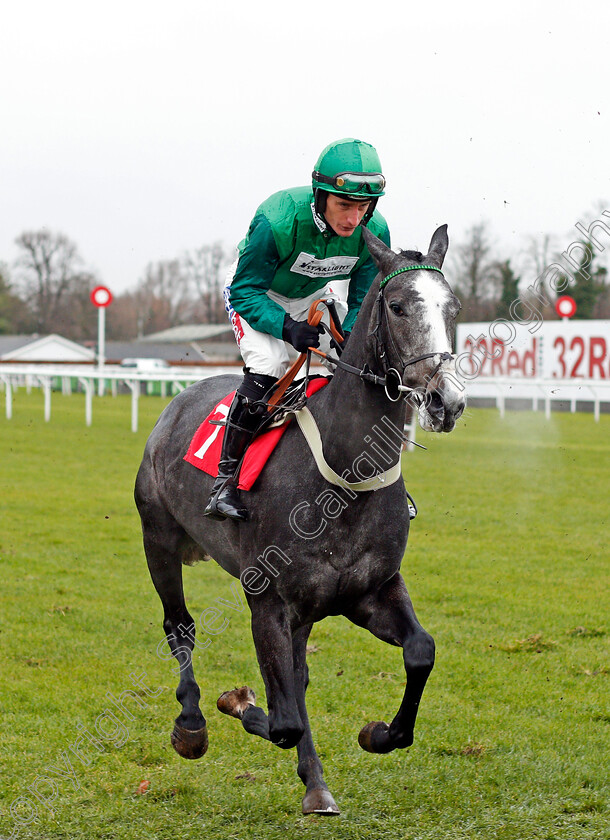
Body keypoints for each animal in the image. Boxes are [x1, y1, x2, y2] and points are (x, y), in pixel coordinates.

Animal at [134, 223, 466, 812]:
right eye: (399, 306)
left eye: (453, 307)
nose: (444, 401)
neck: (344, 477)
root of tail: (177, 400)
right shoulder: (267, 600)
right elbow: (282, 719)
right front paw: (236, 701)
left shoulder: (370, 590)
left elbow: (421, 652)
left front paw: (379, 733)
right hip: (159, 542)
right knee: (181, 628)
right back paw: (191, 723)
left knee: (298, 672)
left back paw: (315, 783)